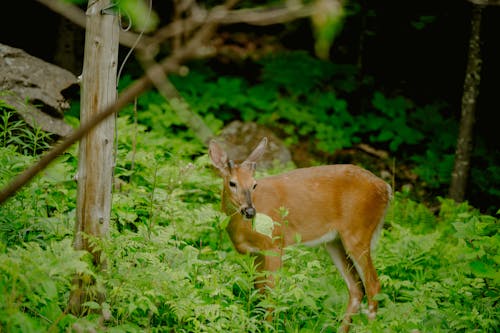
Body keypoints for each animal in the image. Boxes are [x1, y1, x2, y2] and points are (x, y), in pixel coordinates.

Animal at [209, 136, 392, 330]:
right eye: (232, 183)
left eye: (254, 184)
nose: (250, 211)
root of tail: (386, 189)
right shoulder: (255, 253)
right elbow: (259, 292)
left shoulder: (274, 243)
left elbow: (271, 293)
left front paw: (269, 327)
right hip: (334, 241)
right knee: (356, 287)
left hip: (358, 232)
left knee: (373, 285)